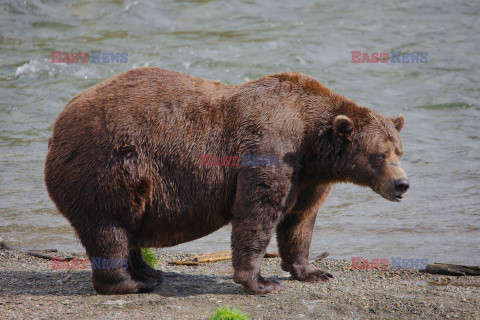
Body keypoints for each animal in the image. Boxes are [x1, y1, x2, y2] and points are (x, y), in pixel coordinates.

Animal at [44, 67, 408, 296]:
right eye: (380, 154)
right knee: (110, 227)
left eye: (399, 150)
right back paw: (130, 283)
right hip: (108, 165)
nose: (402, 184)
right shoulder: (270, 148)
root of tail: (58, 125)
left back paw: (148, 272)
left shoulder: (308, 178)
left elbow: (299, 221)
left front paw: (313, 271)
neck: (311, 143)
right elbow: (257, 211)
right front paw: (260, 282)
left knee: (129, 226)